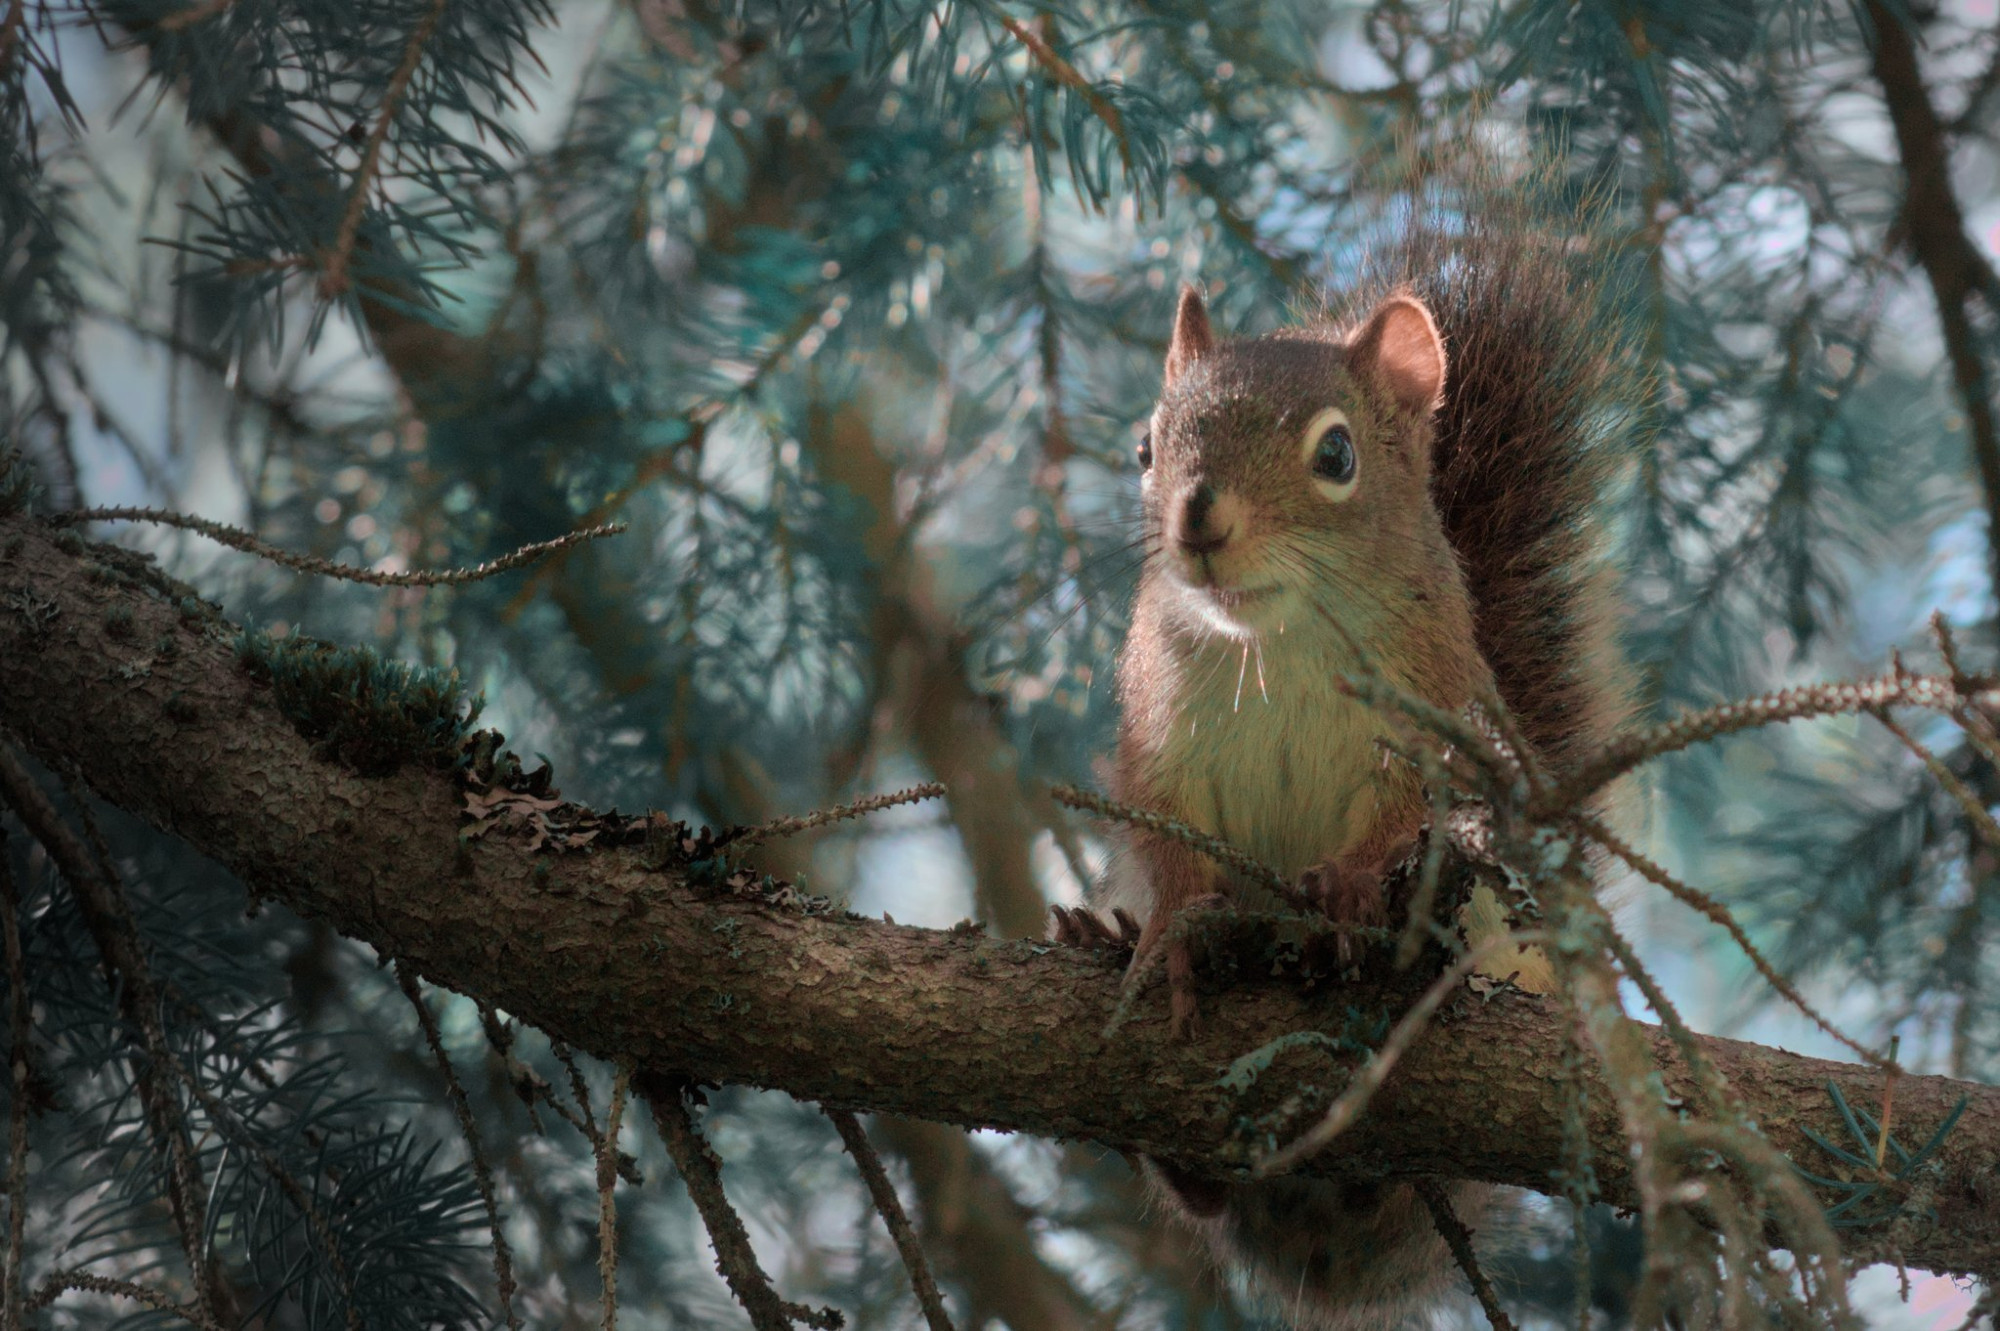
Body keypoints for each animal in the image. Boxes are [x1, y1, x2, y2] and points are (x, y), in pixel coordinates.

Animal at [1056, 183, 1632, 1327]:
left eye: (1335, 455)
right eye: (1146, 444)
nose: (1196, 520)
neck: (1274, 645)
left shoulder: (1436, 734)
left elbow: (1401, 822)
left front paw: (1351, 890)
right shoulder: (1155, 745)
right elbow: (1169, 842)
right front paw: (1170, 931)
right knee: (1203, 1194)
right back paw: (1105, 941)